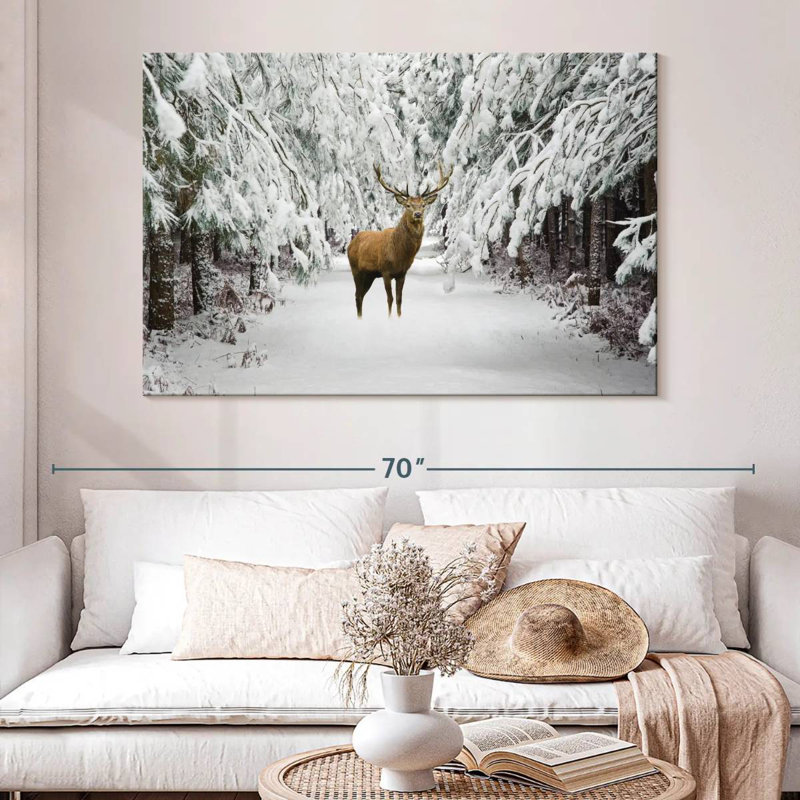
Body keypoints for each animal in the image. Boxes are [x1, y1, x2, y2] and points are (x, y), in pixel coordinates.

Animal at [347, 162, 452, 318]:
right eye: (408, 205)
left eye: (423, 205)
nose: (417, 214)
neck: (400, 254)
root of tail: (351, 243)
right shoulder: (385, 271)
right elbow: (390, 299)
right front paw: (390, 318)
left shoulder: (402, 273)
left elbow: (399, 299)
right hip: (356, 270)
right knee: (357, 295)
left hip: (369, 275)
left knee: (360, 295)